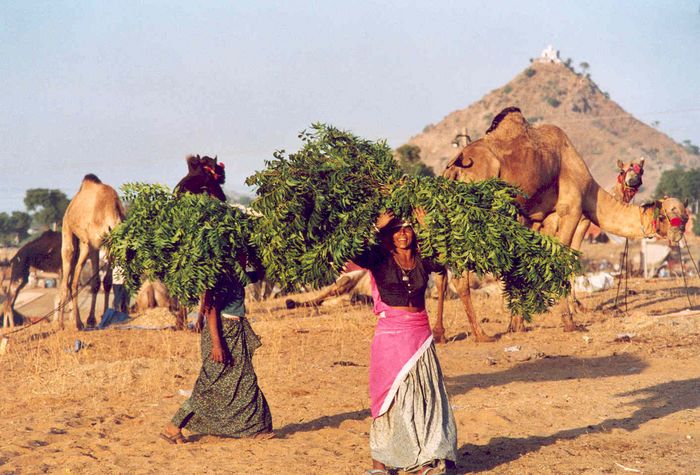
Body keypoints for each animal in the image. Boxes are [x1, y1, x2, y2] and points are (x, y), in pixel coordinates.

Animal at [58, 175, 125, 330]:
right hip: (69, 232)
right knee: (70, 277)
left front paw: (101, 318)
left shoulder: (109, 248)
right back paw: (64, 323)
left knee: (71, 280)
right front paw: (88, 320)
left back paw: (72, 320)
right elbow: (91, 282)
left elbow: (106, 282)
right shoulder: (94, 245)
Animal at [440, 106, 688, 340]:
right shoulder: (571, 212)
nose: (677, 235)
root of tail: (455, 167)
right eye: (669, 215)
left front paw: (517, 324)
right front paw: (569, 322)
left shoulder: (534, 218)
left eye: (685, 218)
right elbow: (563, 261)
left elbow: (523, 267)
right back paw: (481, 335)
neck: (590, 190)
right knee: (459, 275)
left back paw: (442, 334)